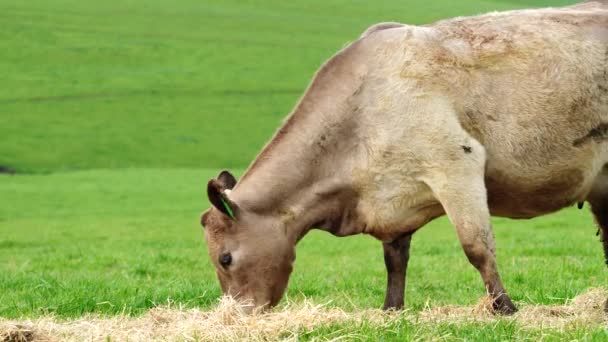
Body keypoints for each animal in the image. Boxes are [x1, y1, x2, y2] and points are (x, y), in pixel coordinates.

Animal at [200, 0, 608, 316]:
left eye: (225, 258)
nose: (238, 315)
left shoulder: (455, 164)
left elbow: (477, 247)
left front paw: (504, 308)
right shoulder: (392, 197)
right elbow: (395, 260)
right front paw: (391, 309)